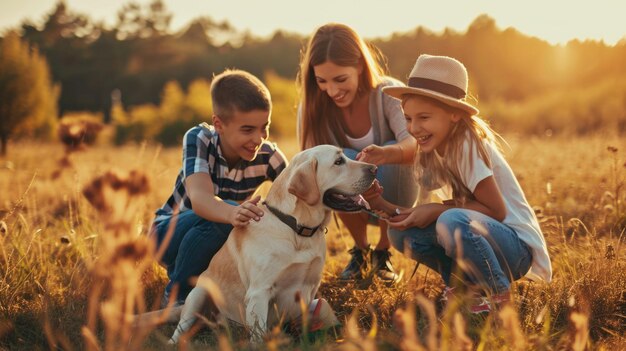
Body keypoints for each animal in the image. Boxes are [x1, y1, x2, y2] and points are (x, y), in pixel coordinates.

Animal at [138, 145, 376, 344]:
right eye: (338, 161)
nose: (374, 167)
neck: (296, 229)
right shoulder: (259, 292)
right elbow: (258, 336)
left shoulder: (310, 289)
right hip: (200, 292)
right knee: (181, 328)